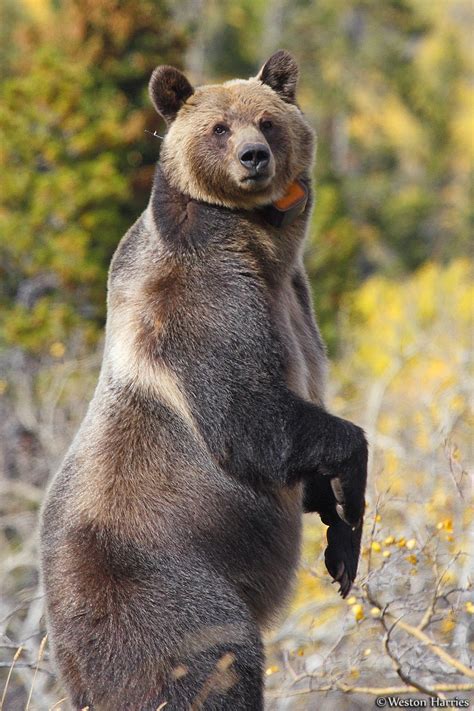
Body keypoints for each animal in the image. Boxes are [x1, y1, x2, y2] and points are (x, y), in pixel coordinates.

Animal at [40, 50, 368, 710]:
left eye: (266, 121)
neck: (261, 244)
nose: (254, 157)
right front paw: (353, 491)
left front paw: (340, 545)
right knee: (211, 663)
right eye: (219, 127)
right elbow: (249, 417)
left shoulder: (296, 301)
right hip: (165, 589)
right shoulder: (204, 299)